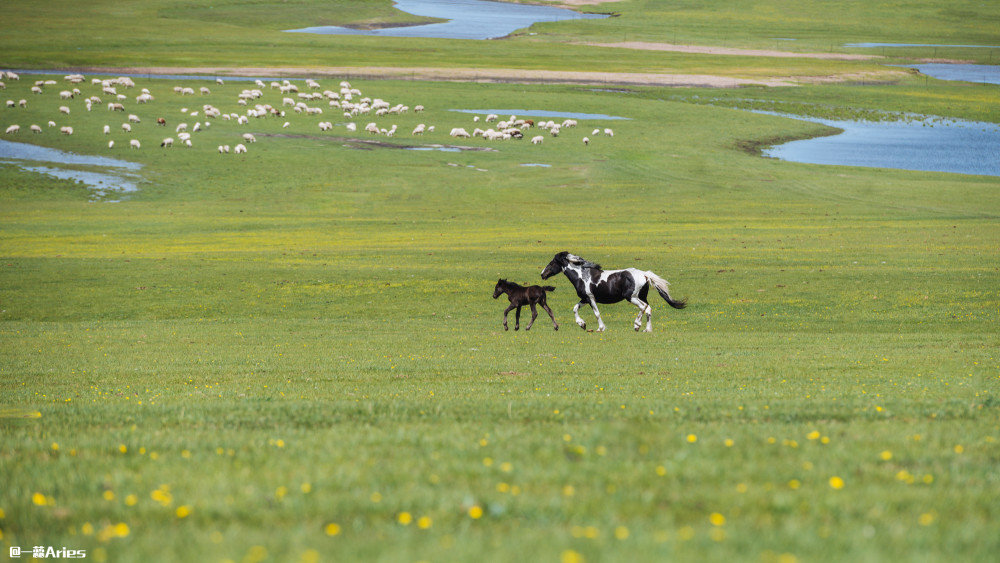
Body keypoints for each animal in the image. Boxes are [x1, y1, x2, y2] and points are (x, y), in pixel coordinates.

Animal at [540, 250, 688, 330]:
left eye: (552, 263)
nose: (542, 274)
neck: (582, 276)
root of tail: (644, 274)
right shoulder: (584, 299)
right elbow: (575, 308)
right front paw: (582, 324)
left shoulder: (590, 298)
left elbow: (597, 313)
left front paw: (600, 328)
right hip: (641, 296)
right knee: (648, 309)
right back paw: (647, 330)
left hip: (632, 297)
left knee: (643, 307)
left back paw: (637, 325)